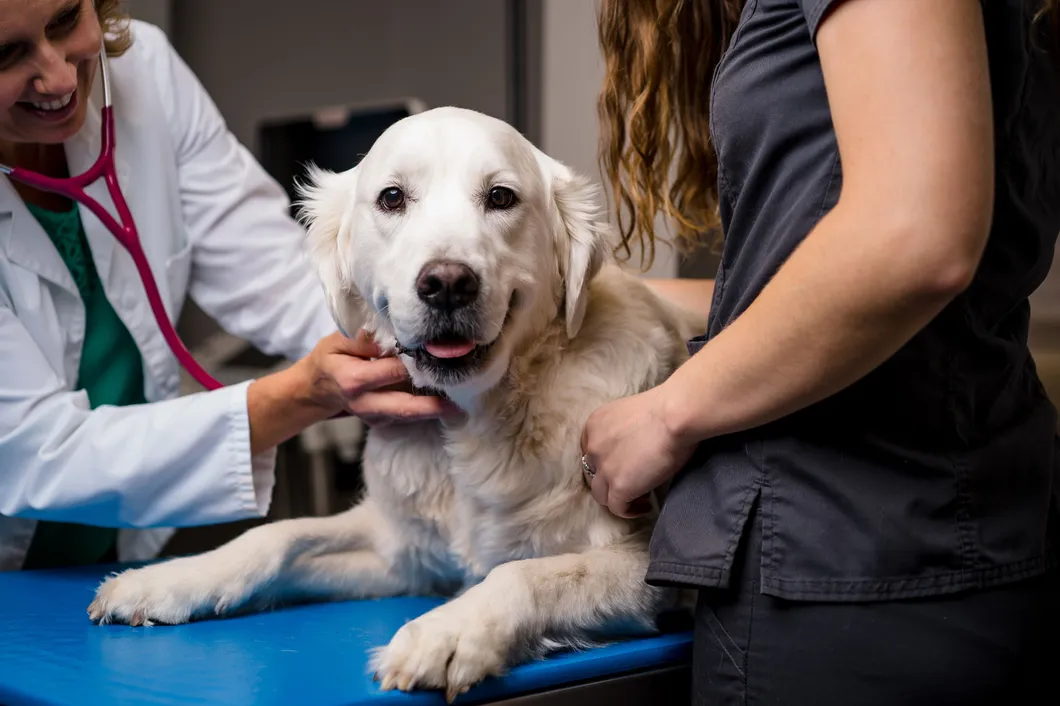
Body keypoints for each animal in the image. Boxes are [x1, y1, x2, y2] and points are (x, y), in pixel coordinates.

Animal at [89, 107, 703, 699]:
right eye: (392, 198)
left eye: (501, 197)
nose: (448, 283)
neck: (471, 423)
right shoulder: (401, 554)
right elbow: (278, 535)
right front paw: (169, 579)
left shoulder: (647, 570)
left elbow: (527, 573)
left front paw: (449, 632)